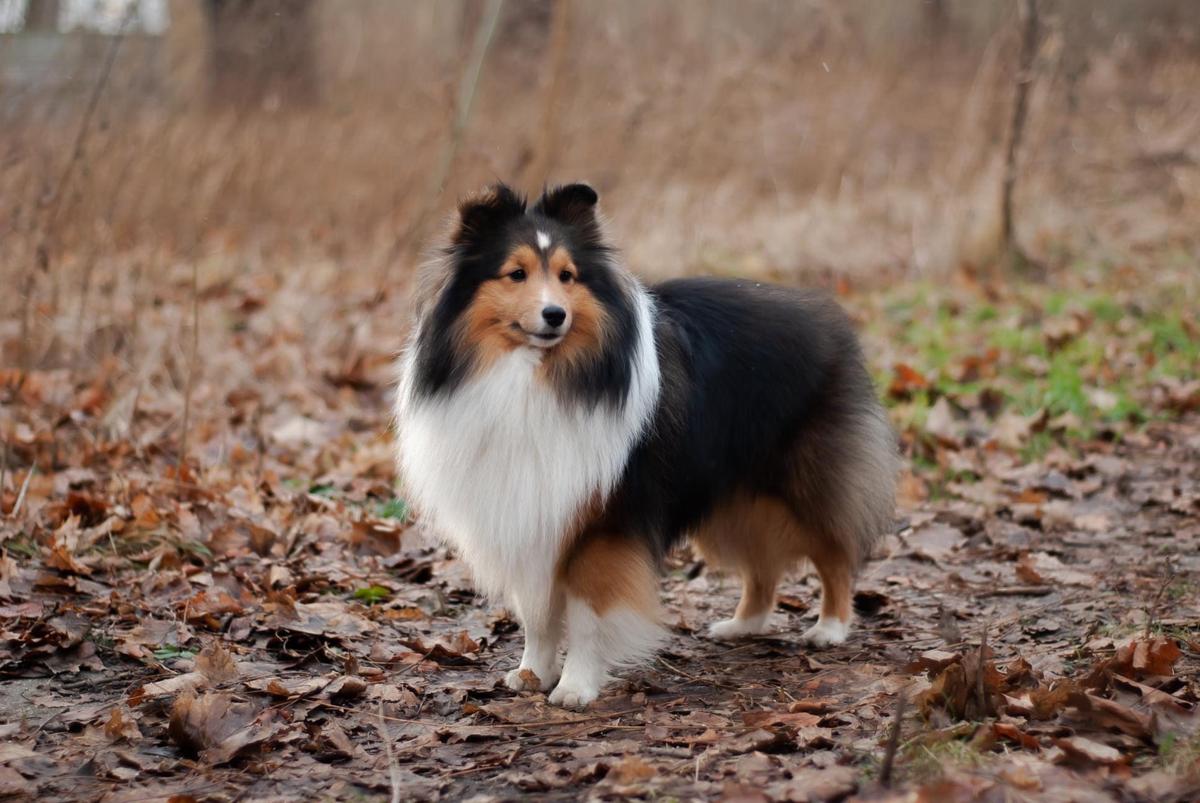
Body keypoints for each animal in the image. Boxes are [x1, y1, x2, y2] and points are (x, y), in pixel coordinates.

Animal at [398, 183, 897, 705]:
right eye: (516, 273)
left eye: (567, 276)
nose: (555, 315)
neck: (538, 376)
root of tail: (827, 315)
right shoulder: (533, 518)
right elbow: (537, 613)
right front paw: (532, 673)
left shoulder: (603, 523)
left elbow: (586, 614)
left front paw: (575, 686)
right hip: (733, 498)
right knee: (763, 565)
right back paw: (743, 624)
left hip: (804, 484)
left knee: (835, 553)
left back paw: (830, 628)